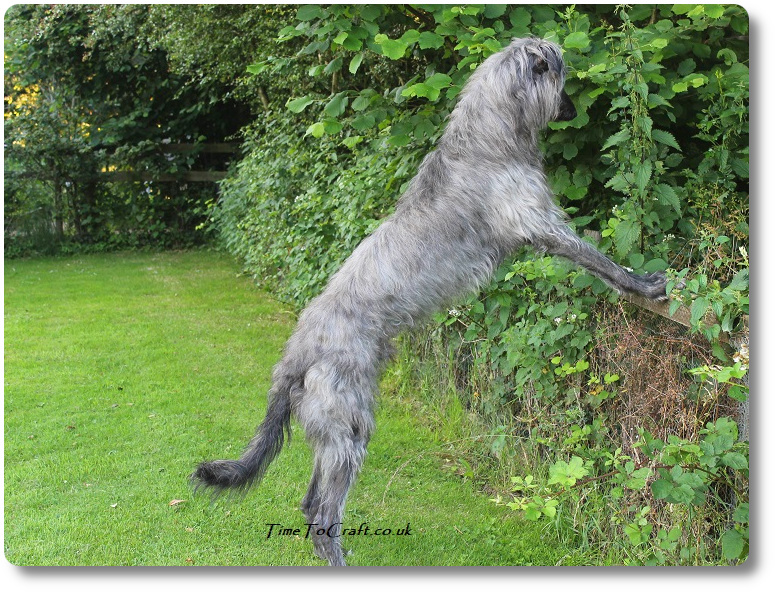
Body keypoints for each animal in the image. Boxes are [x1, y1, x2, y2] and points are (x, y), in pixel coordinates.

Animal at [191, 37, 668, 564]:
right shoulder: (538, 223)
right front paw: (644, 284)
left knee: (309, 502)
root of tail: (296, 353)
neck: (487, 137)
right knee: (322, 512)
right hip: (348, 423)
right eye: (561, 78)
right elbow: (599, 262)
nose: (575, 110)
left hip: (332, 425)